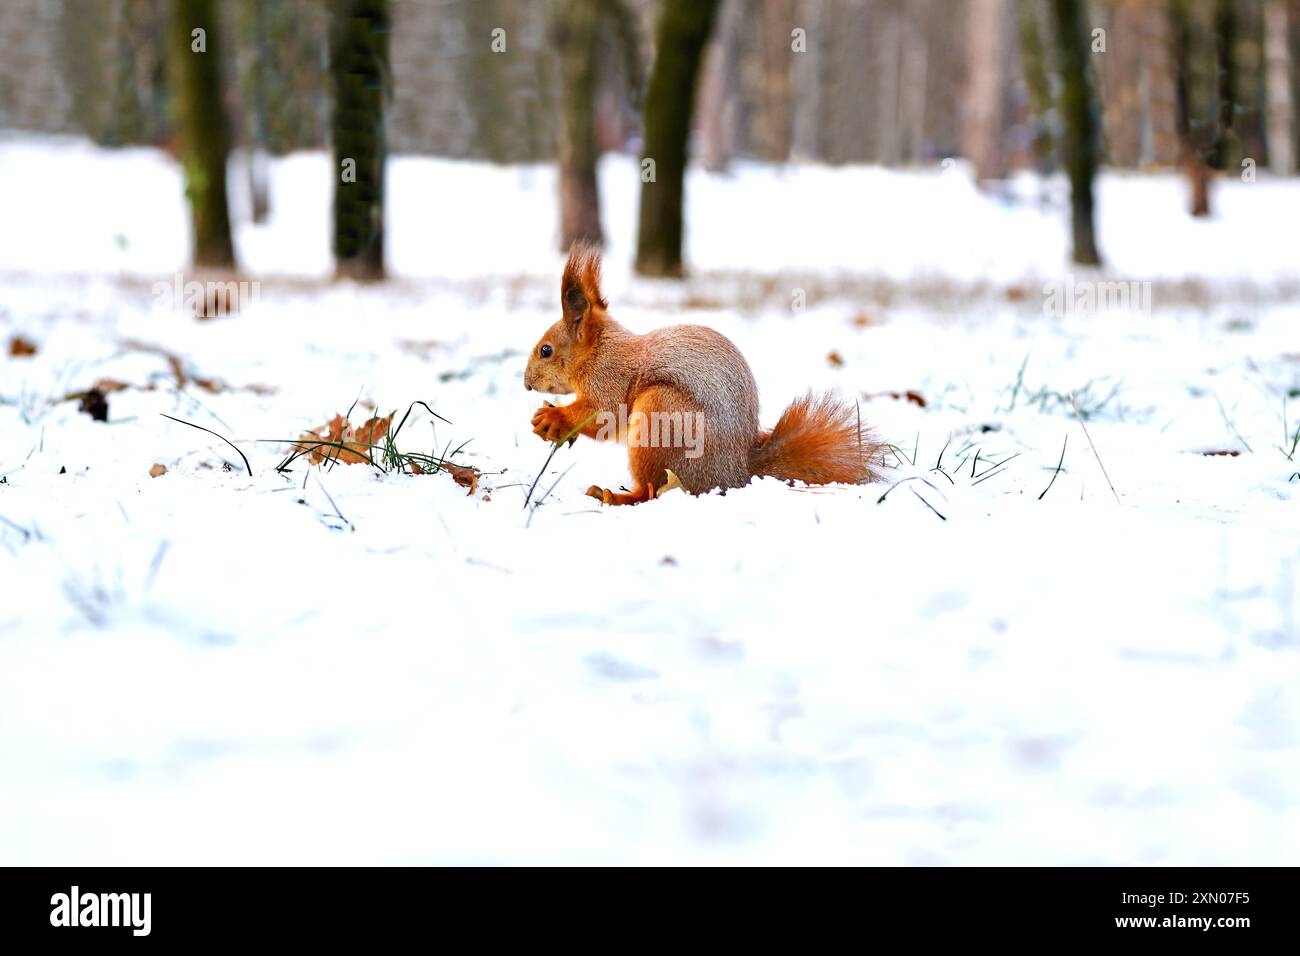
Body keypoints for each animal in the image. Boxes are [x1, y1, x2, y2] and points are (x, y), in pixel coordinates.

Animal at [525, 244, 883, 509]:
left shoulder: (609, 379)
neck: (599, 351)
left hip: (660, 417)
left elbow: (603, 416)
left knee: (651, 491)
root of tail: (735, 472)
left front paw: (554, 418)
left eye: (545, 350)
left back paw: (614, 496)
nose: (526, 383)